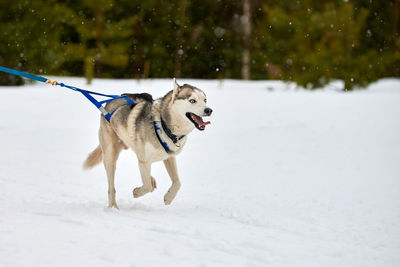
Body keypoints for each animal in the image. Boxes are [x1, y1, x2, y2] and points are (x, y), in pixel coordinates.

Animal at [83, 79, 212, 209]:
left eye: (205, 100)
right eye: (192, 100)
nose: (209, 110)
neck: (163, 124)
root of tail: (108, 103)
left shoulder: (169, 157)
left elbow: (177, 182)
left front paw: (168, 197)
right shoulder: (144, 161)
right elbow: (147, 186)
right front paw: (137, 192)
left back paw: (152, 179)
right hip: (110, 156)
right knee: (111, 187)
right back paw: (114, 207)